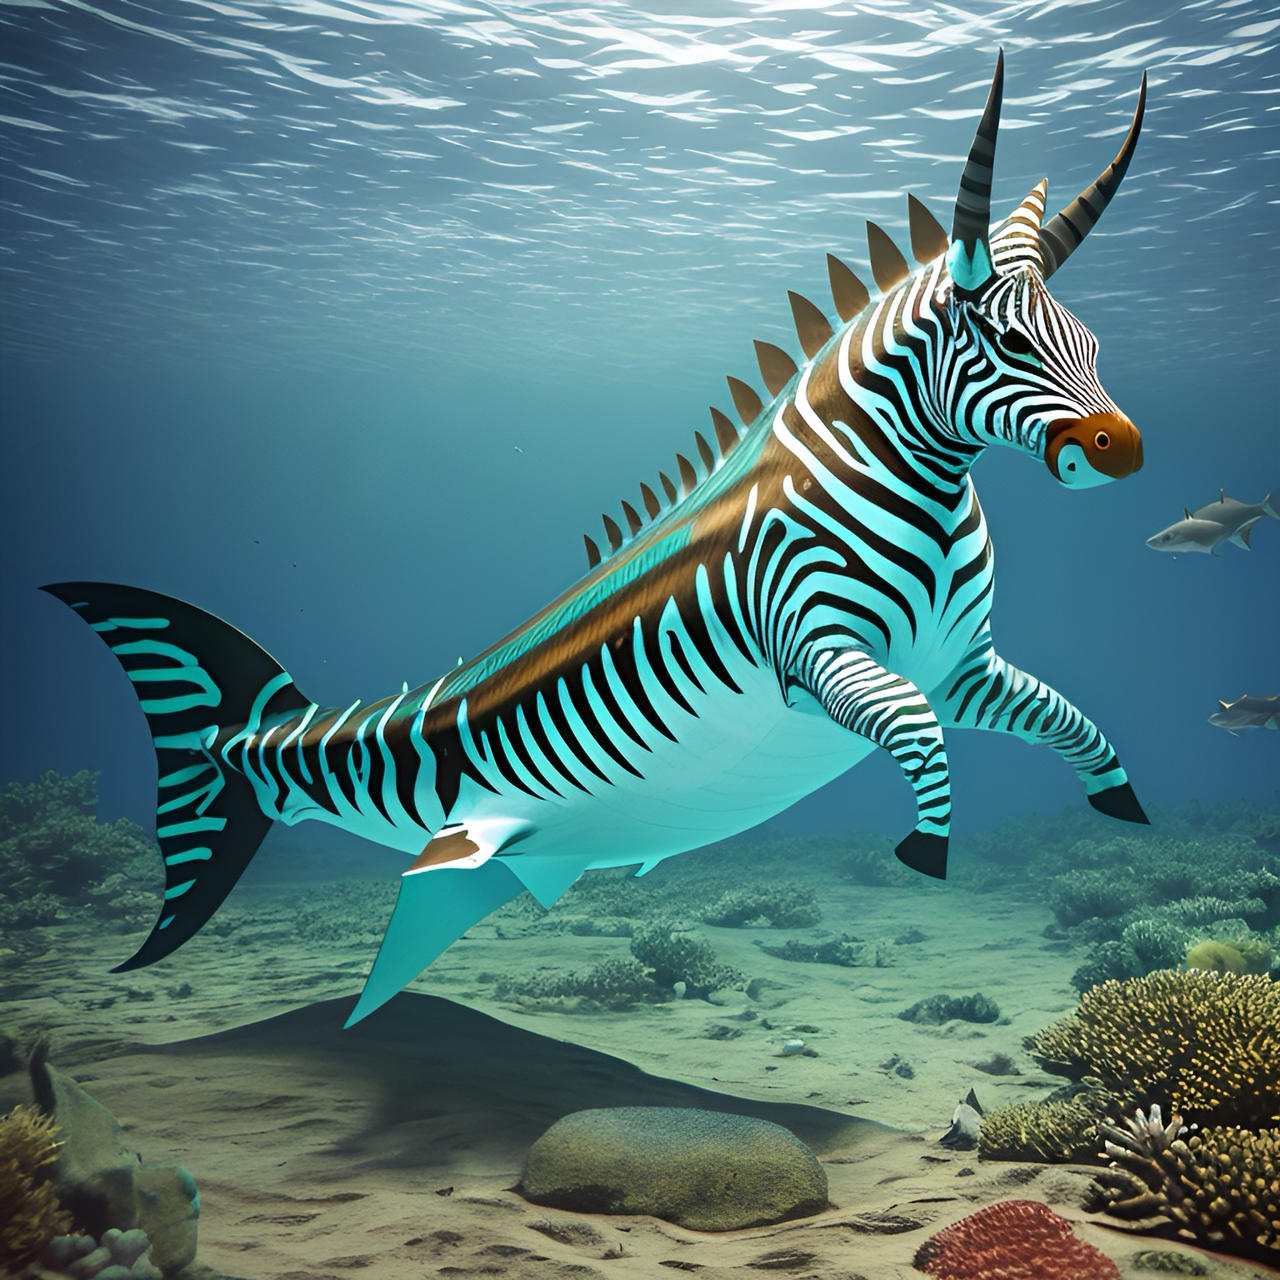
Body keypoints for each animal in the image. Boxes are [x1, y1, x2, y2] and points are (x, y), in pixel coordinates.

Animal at [44, 53, 1150, 1025]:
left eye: (1095, 344)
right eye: (1003, 342)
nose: (1122, 446)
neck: (900, 472)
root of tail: (242, 730)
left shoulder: (964, 665)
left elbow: (1076, 722)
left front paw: (1122, 803)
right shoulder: (816, 647)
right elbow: (918, 729)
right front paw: (927, 847)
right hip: (464, 839)